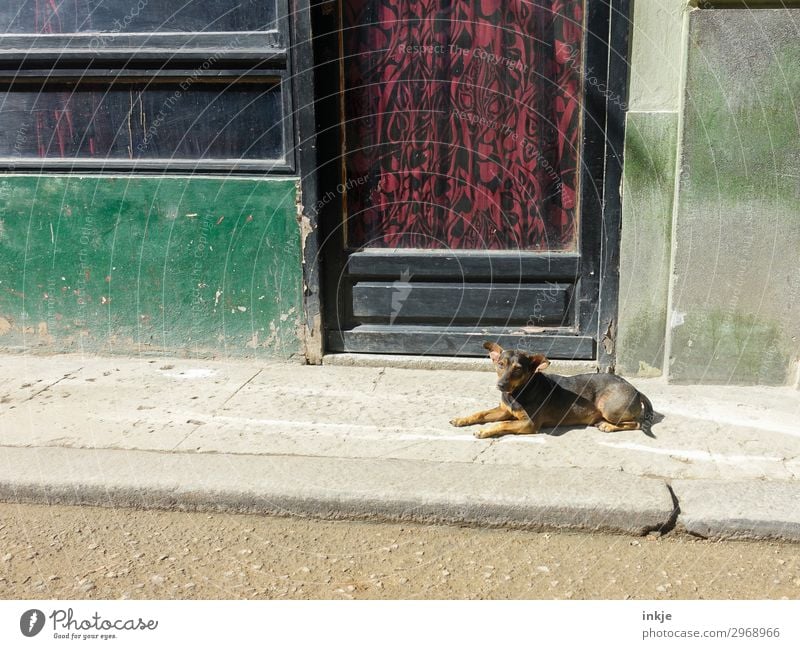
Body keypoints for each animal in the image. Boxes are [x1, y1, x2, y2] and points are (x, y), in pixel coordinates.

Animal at [446, 342, 652, 438]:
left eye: (518, 369)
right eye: (500, 364)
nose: (501, 386)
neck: (518, 392)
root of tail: (636, 390)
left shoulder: (529, 424)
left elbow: (502, 424)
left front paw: (484, 431)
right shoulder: (504, 410)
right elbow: (480, 413)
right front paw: (461, 419)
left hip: (609, 408)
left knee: (637, 423)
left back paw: (608, 426)